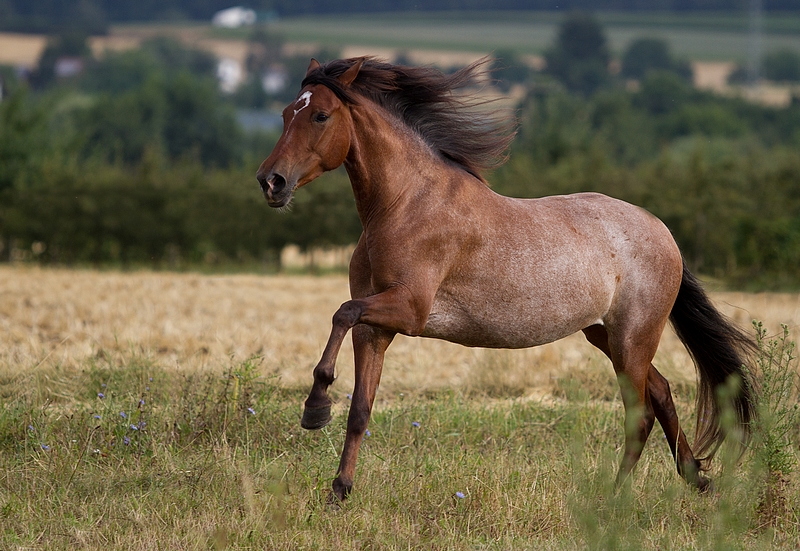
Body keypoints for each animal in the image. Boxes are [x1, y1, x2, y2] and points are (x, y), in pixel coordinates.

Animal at [256, 58, 756, 502]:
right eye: (284, 114)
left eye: (320, 115)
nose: (271, 182)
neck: (403, 205)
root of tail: (662, 231)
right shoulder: (376, 328)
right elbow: (360, 408)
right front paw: (339, 491)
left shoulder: (408, 309)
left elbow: (341, 314)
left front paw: (315, 407)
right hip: (607, 337)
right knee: (663, 393)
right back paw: (696, 480)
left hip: (633, 338)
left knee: (640, 414)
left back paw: (613, 499)